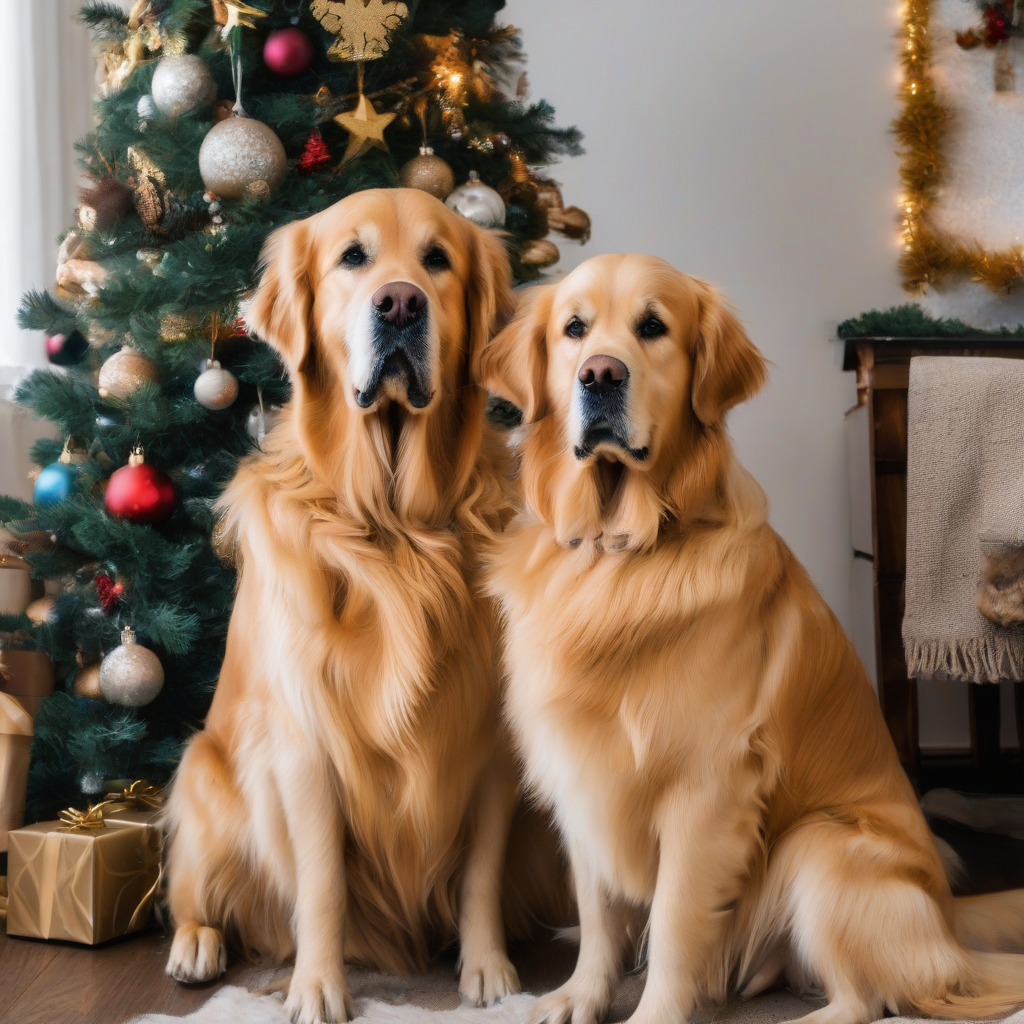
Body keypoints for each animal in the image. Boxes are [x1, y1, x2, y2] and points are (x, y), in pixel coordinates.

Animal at [160, 188, 565, 1019]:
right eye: (353, 257)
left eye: (437, 259)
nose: (401, 303)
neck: (397, 527)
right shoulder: (307, 744)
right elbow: (321, 884)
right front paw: (318, 987)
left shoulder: (491, 746)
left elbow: (479, 875)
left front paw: (487, 970)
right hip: (203, 772)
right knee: (197, 896)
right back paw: (194, 945)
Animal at [483, 253, 1024, 1024]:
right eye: (574, 330)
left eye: (653, 327)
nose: (599, 375)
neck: (619, 557)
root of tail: (951, 920)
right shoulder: (583, 775)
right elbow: (597, 913)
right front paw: (580, 996)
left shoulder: (706, 788)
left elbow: (674, 923)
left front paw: (653, 1013)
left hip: (819, 844)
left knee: (865, 1000)